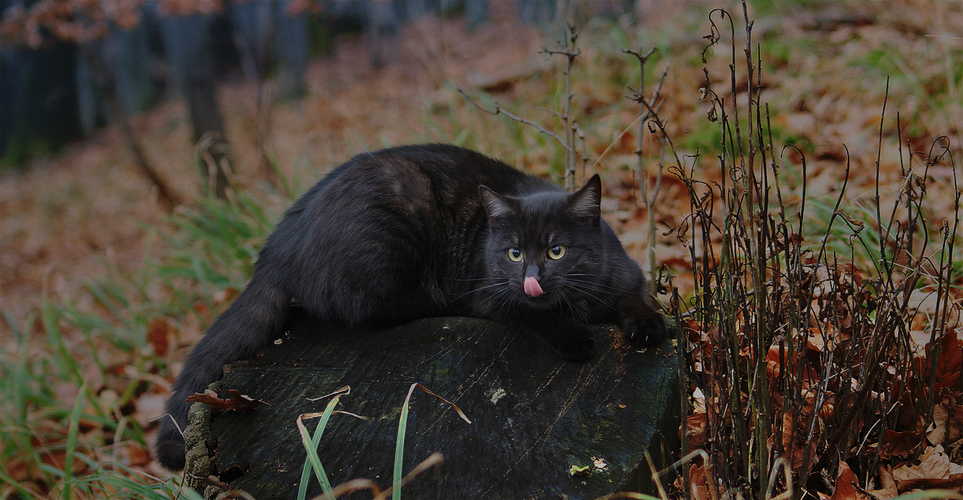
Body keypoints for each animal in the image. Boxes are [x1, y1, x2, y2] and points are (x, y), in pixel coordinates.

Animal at [158, 144, 672, 468]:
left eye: (556, 251)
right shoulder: (490, 293)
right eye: (513, 253)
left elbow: (637, 296)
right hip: (396, 215)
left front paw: (648, 326)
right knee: (368, 308)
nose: (530, 279)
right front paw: (575, 335)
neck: (580, 299)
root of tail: (274, 248)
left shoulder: (626, 273)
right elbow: (534, 315)